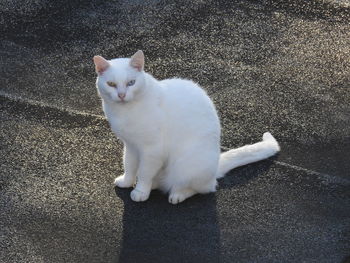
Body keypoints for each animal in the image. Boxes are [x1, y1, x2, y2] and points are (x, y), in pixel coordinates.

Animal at [92, 50, 278, 205]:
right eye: (111, 84)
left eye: (131, 82)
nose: (122, 95)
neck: (125, 112)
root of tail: (215, 166)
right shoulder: (130, 146)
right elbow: (129, 165)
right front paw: (127, 182)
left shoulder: (152, 150)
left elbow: (144, 173)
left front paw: (140, 192)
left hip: (185, 166)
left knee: (202, 188)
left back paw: (177, 194)